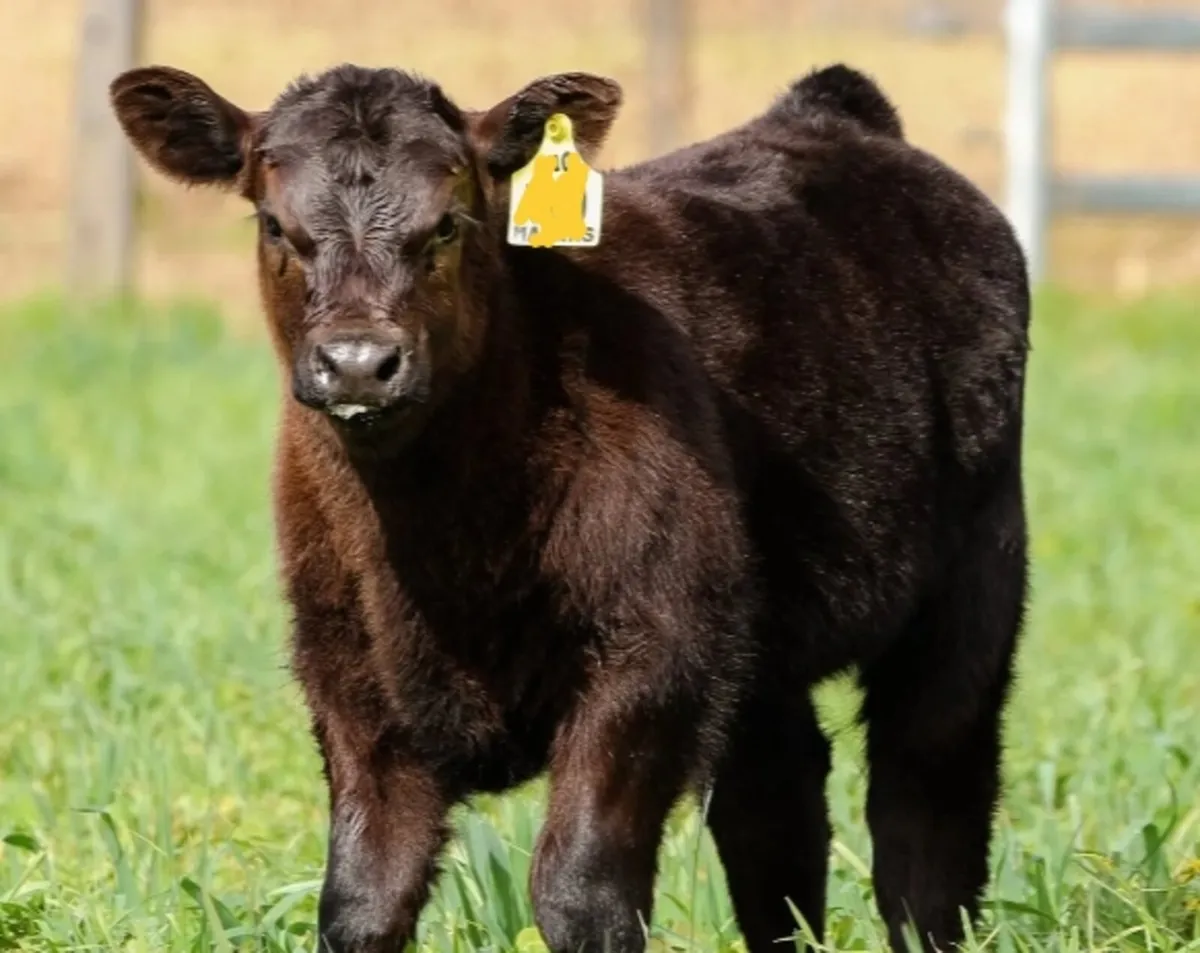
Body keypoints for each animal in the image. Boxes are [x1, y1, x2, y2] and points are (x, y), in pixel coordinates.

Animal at [109, 59, 1031, 953]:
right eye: (272, 224)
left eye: (449, 224)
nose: (360, 362)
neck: (443, 538)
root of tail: (831, 111)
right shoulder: (345, 669)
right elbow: (363, 899)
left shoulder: (650, 649)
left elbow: (581, 893)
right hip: (759, 637)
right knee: (776, 802)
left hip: (975, 574)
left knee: (929, 793)